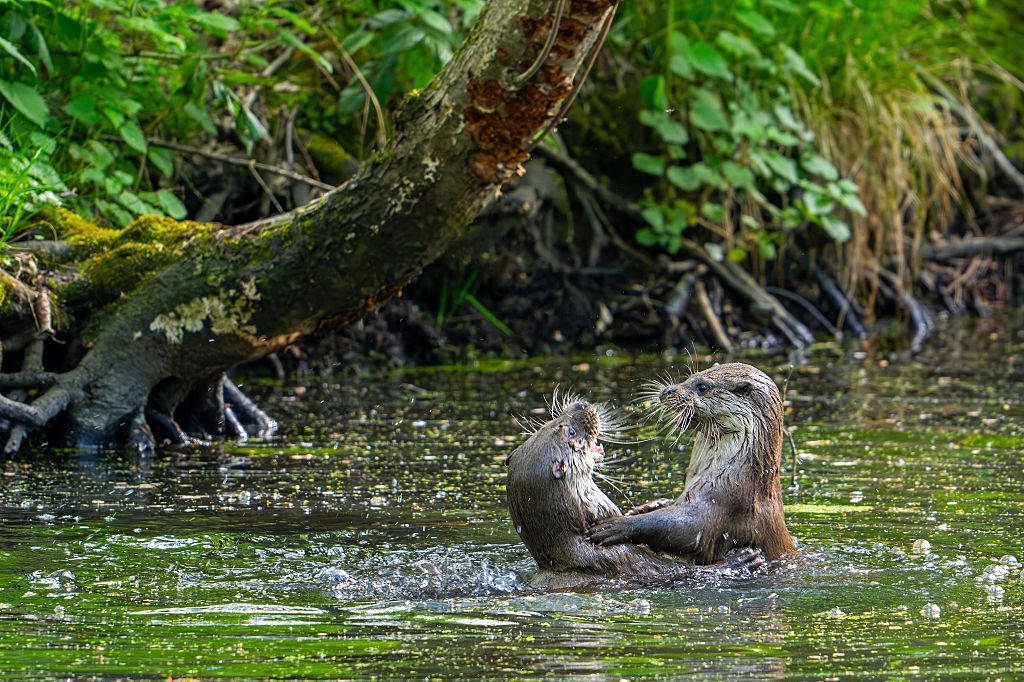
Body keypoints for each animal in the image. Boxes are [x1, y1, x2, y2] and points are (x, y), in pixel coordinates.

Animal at [589, 363, 795, 563]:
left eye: (702, 387)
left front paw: (617, 525)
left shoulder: (725, 496)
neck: (738, 471)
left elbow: (685, 529)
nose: (668, 391)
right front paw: (646, 507)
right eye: (689, 377)